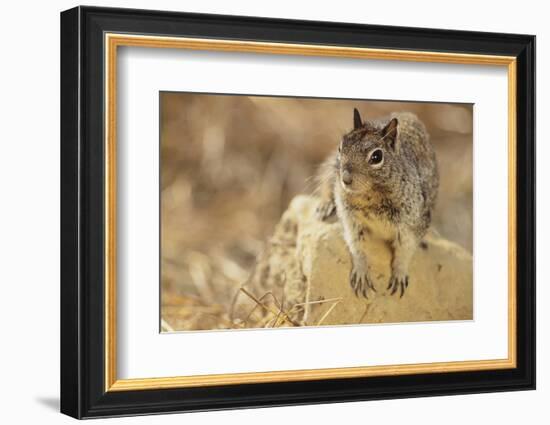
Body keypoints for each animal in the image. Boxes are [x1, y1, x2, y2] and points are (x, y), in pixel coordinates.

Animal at [320, 107, 440, 296]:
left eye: (376, 157)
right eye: (341, 147)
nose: (345, 179)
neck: (370, 196)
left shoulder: (412, 223)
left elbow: (405, 250)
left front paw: (399, 273)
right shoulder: (350, 219)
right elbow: (356, 246)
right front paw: (361, 272)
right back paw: (325, 206)